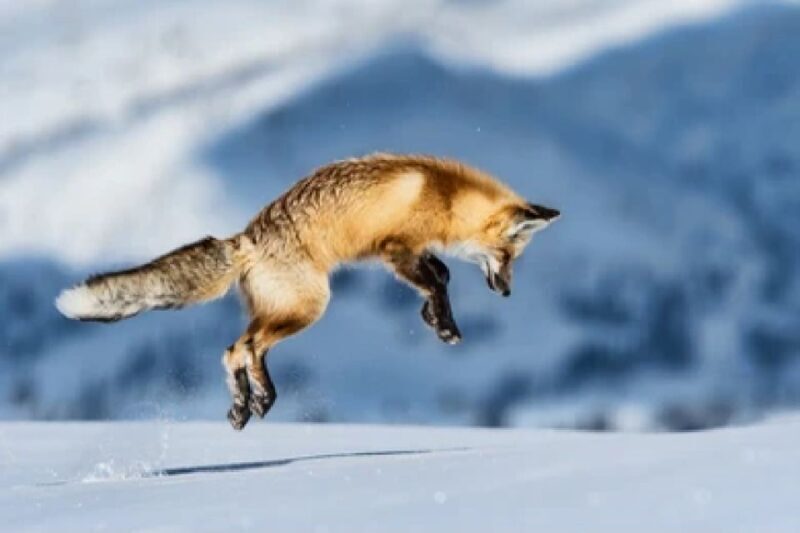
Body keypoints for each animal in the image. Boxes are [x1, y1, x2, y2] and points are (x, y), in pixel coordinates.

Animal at [56, 154, 559, 429]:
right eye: (509, 256)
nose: (506, 293)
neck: (445, 196)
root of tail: (245, 240)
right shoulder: (395, 248)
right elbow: (437, 278)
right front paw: (445, 325)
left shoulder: (407, 253)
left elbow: (440, 275)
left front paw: (433, 318)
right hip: (309, 306)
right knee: (247, 348)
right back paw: (260, 399)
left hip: (282, 308)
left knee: (234, 350)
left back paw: (246, 405)